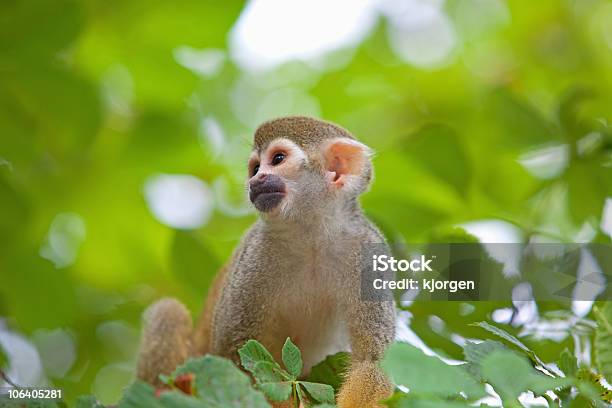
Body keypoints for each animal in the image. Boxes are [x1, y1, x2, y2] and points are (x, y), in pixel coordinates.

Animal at [136, 115, 394, 408]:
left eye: (278, 158)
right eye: (255, 167)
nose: (256, 179)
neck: (312, 237)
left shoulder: (368, 251)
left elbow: (372, 362)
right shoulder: (256, 252)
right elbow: (234, 351)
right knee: (168, 312)